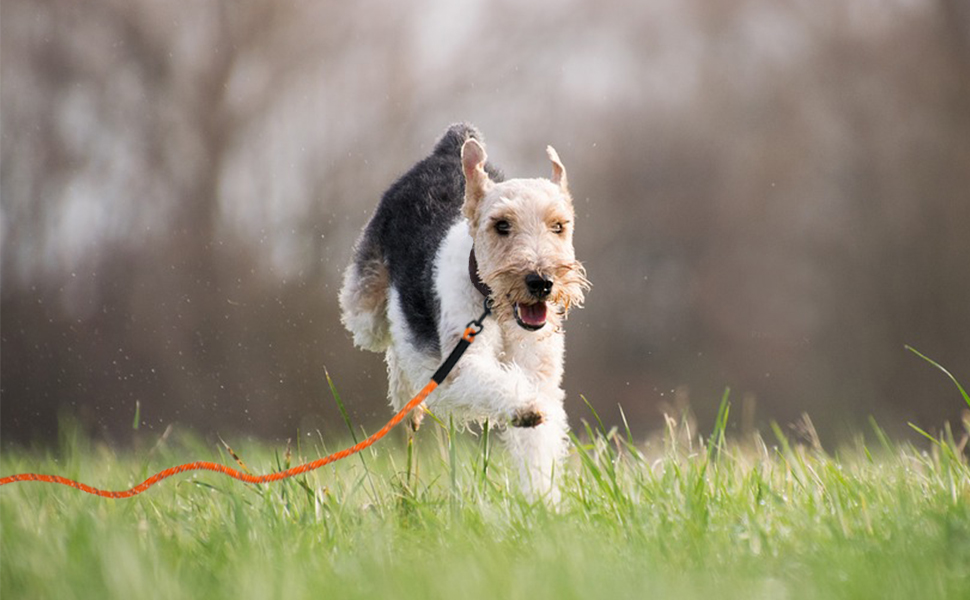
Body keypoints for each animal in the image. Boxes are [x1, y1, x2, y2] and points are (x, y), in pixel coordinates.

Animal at [336, 124, 588, 500]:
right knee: (393, 339)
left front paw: (543, 501)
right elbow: (498, 384)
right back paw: (409, 403)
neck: (495, 309)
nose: (541, 282)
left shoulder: (541, 375)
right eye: (501, 225)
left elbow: (539, 445)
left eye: (559, 225)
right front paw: (525, 408)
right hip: (365, 312)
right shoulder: (461, 363)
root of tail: (448, 145)